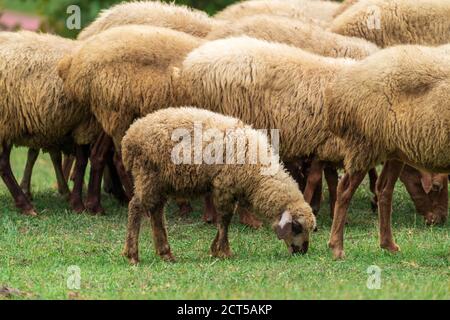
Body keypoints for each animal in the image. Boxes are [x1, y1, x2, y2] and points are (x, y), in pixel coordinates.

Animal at [121, 106, 314, 264]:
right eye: (297, 227)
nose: (302, 252)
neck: (258, 176)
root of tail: (130, 136)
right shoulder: (224, 185)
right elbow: (225, 218)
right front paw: (223, 251)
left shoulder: (231, 189)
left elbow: (225, 218)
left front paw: (217, 249)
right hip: (148, 175)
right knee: (135, 207)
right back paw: (132, 255)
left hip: (161, 181)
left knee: (156, 212)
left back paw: (166, 254)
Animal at [326, 45, 450, 260]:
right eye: (435, 187)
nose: (440, 220)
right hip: (364, 144)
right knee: (344, 190)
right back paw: (337, 247)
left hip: (394, 150)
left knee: (383, 189)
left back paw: (388, 245)